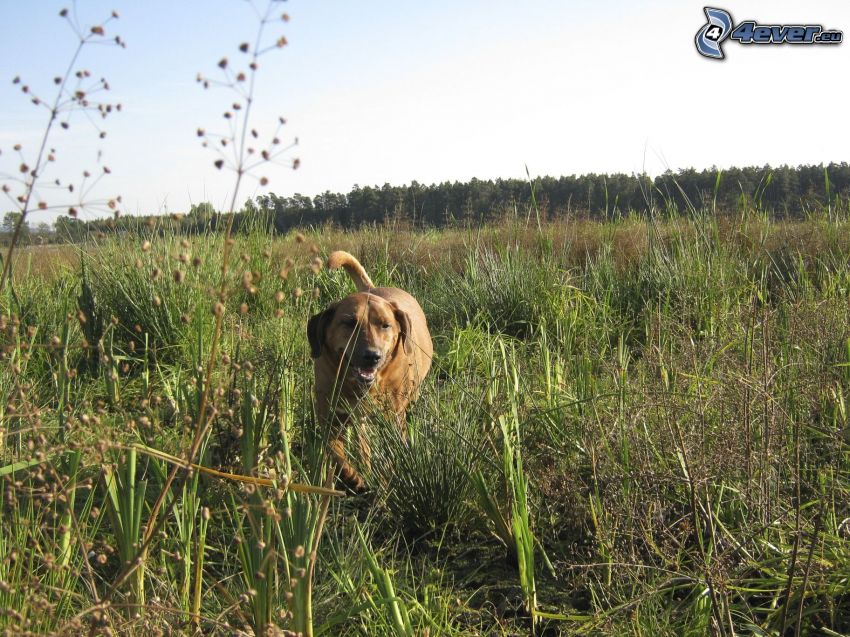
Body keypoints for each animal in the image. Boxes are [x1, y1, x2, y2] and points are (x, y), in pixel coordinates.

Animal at [306, 251, 430, 490]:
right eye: (349, 323)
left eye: (385, 325)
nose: (373, 356)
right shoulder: (331, 414)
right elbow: (335, 452)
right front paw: (353, 477)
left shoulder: (392, 415)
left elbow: (390, 449)